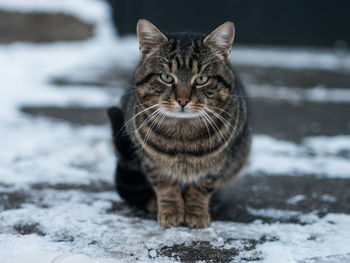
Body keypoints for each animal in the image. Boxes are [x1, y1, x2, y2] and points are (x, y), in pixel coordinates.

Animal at [108, 19, 250, 229]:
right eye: (166, 77)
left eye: (201, 79)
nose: (183, 100)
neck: (183, 139)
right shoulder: (152, 164)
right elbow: (166, 187)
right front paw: (171, 211)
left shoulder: (217, 167)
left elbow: (200, 189)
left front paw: (196, 212)